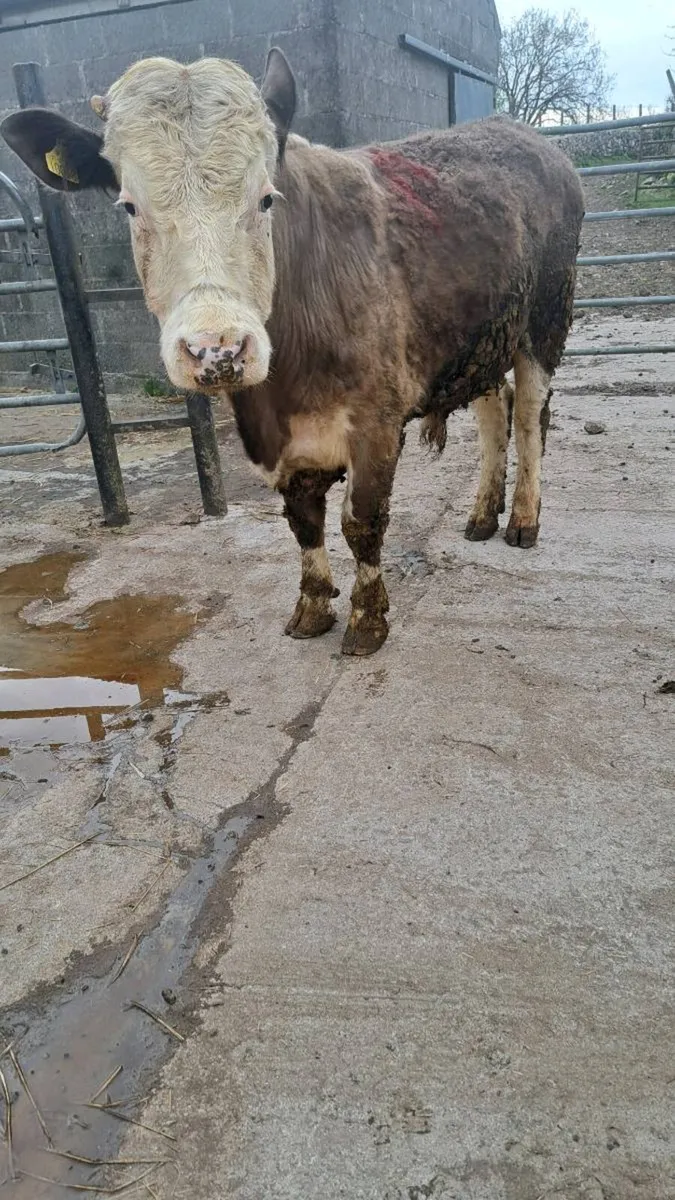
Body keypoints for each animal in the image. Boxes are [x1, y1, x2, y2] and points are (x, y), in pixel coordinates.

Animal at [2, 51, 584, 656]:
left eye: (265, 197)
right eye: (130, 207)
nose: (216, 350)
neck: (282, 393)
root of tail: (519, 132)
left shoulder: (377, 418)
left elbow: (361, 520)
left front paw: (366, 619)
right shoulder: (277, 440)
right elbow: (303, 519)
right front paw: (311, 607)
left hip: (547, 315)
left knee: (531, 415)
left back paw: (522, 519)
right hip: (482, 335)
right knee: (497, 409)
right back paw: (482, 514)